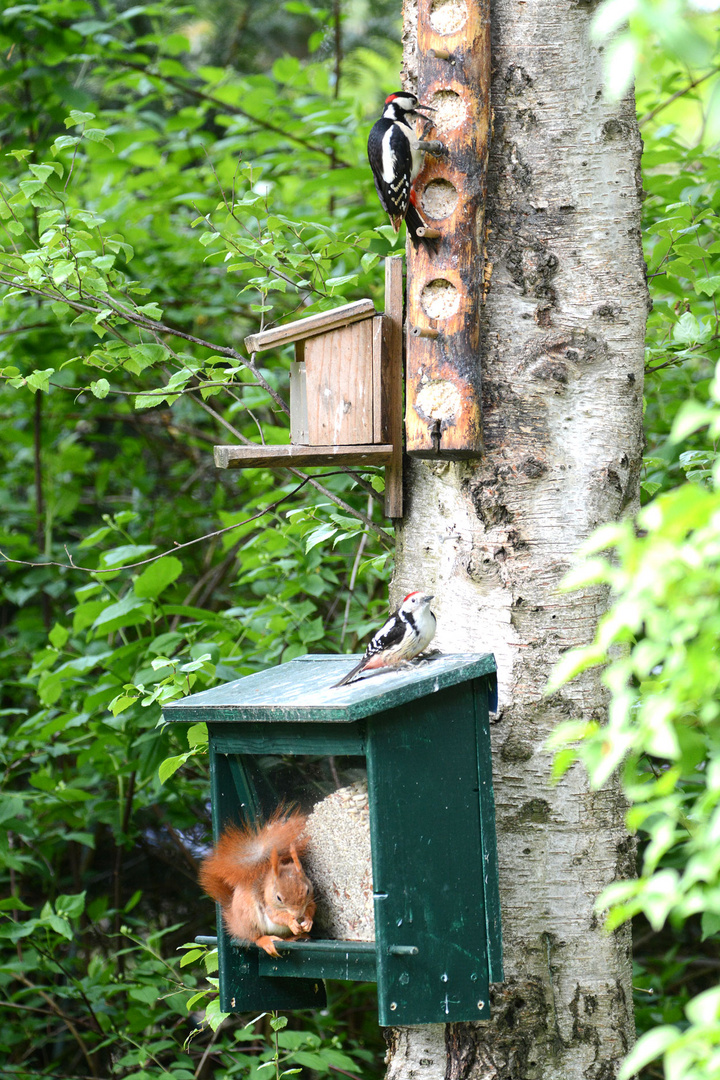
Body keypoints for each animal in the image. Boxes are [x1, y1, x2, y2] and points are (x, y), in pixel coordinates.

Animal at [201, 812, 317, 959]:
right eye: (278, 898)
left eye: (307, 890)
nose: (297, 915)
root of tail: (236, 924)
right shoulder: (269, 907)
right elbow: (277, 916)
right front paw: (291, 921)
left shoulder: (311, 901)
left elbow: (312, 908)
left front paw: (307, 921)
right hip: (249, 919)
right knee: (254, 938)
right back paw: (266, 941)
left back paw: (297, 936)